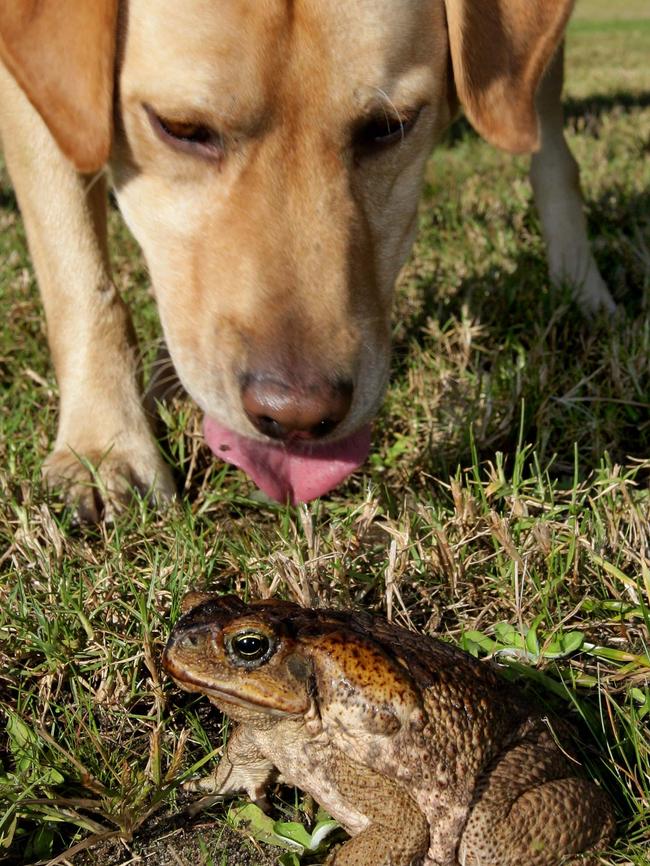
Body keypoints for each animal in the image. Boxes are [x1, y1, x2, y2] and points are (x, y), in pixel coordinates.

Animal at [0, 0, 612, 516]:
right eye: (180, 128)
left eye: (389, 127)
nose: (296, 415)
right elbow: (80, 280)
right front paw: (102, 450)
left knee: (552, 155)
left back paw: (584, 292)